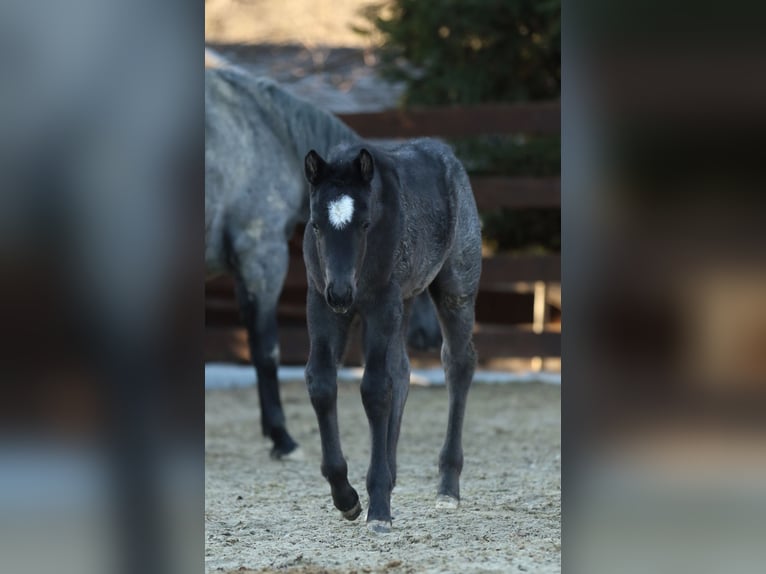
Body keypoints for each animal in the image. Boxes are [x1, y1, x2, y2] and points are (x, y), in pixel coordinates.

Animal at [304, 142, 484, 532]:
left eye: (365, 223)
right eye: (316, 226)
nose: (341, 293)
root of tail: (448, 154)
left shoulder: (381, 304)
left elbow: (374, 389)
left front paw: (379, 509)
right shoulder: (320, 302)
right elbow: (322, 383)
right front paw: (347, 498)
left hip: (455, 288)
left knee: (458, 364)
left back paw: (447, 487)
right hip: (404, 299)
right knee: (401, 371)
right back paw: (391, 477)